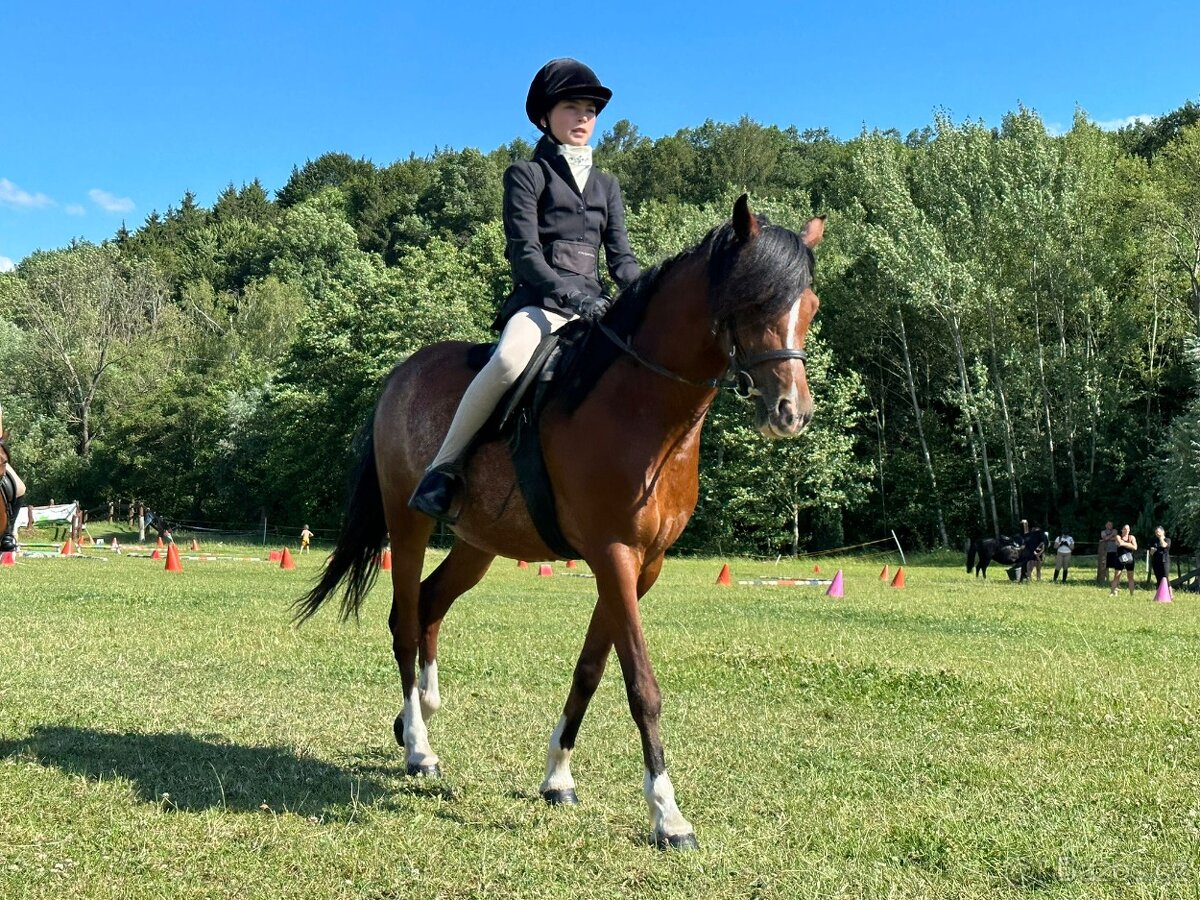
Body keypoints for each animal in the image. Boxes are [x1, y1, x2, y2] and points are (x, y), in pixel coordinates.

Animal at [295, 196, 824, 850]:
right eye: (753, 303)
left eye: (810, 307)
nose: (790, 413)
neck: (643, 410)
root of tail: (402, 373)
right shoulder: (613, 553)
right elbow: (641, 684)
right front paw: (667, 814)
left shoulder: (641, 566)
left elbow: (592, 670)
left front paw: (557, 777)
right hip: (407, 520)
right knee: (404, 619)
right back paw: (419, 746)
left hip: (478, 543)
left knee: (431, 603)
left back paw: (417, 713)